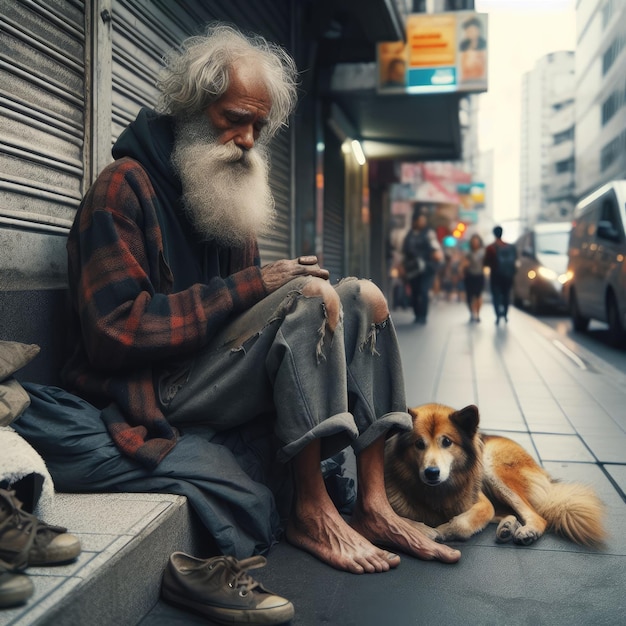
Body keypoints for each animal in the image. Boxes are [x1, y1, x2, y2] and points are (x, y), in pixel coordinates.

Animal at [382, 402, 608, 544]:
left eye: (446, 442)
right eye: (419, 444)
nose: (431, 473)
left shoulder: (481, 502)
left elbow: (462, 522)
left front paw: (439, 532)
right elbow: (398, 519)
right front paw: (423, 531)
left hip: (494, 471)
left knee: (537, 515)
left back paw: (527, 530)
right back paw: (508, 526)